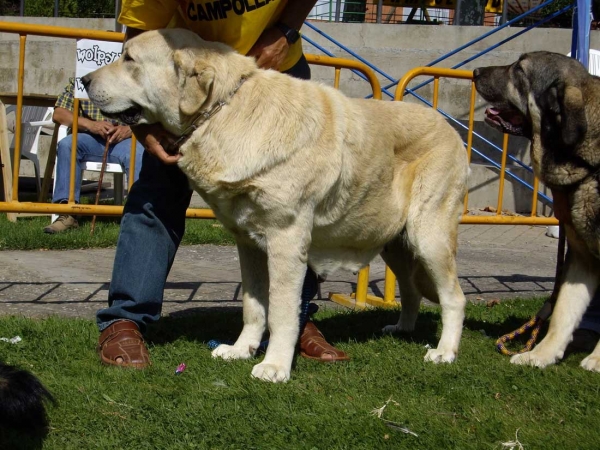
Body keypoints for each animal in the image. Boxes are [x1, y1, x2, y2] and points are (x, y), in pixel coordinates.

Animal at [83, 28, 468, 382]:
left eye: (129, 59)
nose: (84, 80)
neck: (225, 113)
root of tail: (451, 128)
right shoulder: (248, 243)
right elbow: (254, 306)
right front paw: (242, 350)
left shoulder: (286, 240)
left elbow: (282, 311)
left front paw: (275, 366)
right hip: (396, 245)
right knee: (411, 289)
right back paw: (402, 329)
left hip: (428, 237)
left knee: (454, 297)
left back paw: (444, 352)